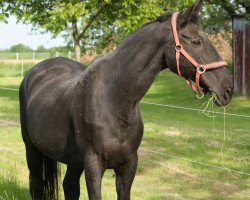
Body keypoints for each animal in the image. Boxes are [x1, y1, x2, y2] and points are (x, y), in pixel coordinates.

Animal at [19, 0, 232, 199]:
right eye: (196, 41)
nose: (227, 88)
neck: (114, 100)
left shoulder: (128, 165)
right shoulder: (93, 164)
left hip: (73, 160)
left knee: (69, 187)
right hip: (32, 150)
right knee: (37, 185)